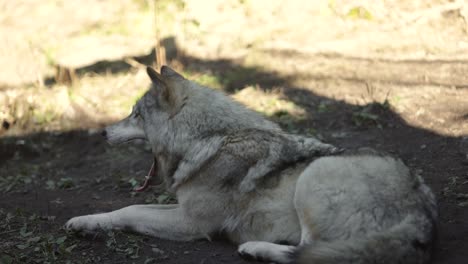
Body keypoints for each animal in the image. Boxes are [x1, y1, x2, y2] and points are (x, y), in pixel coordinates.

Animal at [66, 66, 438, 264]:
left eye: (135, 115)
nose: (102, 132)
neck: (212, 140)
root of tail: (422, 214)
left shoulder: (190, 223)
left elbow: (131, 211)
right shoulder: (181, 210)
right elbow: (125, 208)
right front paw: (85, 222)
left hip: (313, 177)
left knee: (307, 252)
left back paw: (255, 248)